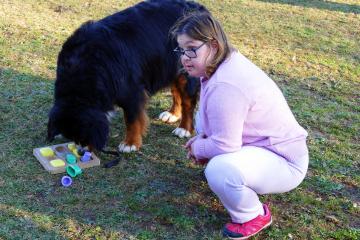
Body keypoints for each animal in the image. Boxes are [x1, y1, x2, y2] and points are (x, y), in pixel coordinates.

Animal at [46, 0, 207, 152]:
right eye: (72, 138)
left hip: (186, 70)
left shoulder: (131, 91)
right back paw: (172, 114)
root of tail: (198, 8)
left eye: (84, 135)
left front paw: (130, 143)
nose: (81, 152)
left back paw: (184, 128)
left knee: (188, 101)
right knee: (176, 91)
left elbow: (132, 120)